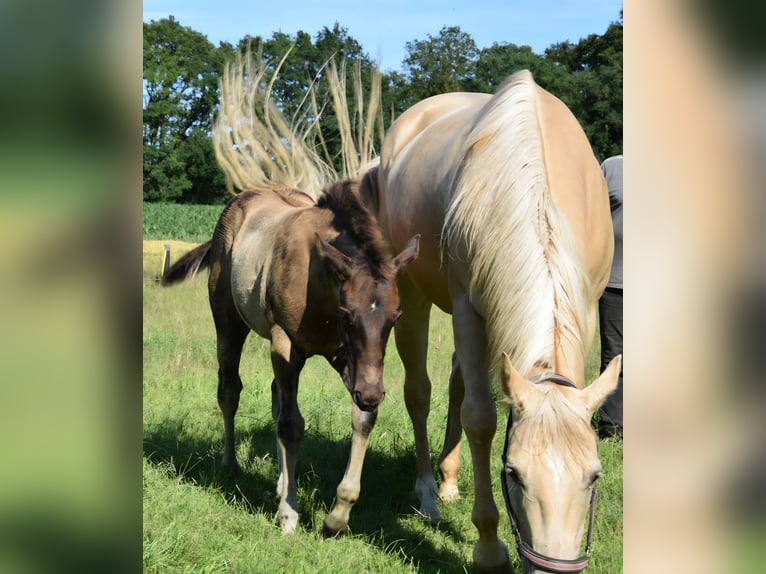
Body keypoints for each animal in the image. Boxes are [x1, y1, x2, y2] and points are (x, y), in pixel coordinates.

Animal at [162, 179, 419, 536]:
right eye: (347, 314)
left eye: (396, 316)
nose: (371, 394)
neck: (321, 284)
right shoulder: (284, 343)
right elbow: (291, 424)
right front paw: (288, 515)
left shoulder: (346, 356)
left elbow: (362, 419)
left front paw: (337, 516)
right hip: (229, 321)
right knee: (230, 390)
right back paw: (231, 464)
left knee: (275, 397)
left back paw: (282, 484)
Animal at [358, 70, 622, 573]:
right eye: (513, 473)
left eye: (594, 475)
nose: (549, 569)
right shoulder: (467, 308)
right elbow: (480, 417)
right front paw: (488, 550)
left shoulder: (586, 305)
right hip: (415, 295)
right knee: (420, 392)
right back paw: (428, 493)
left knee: (455, 386)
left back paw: (448, 482)